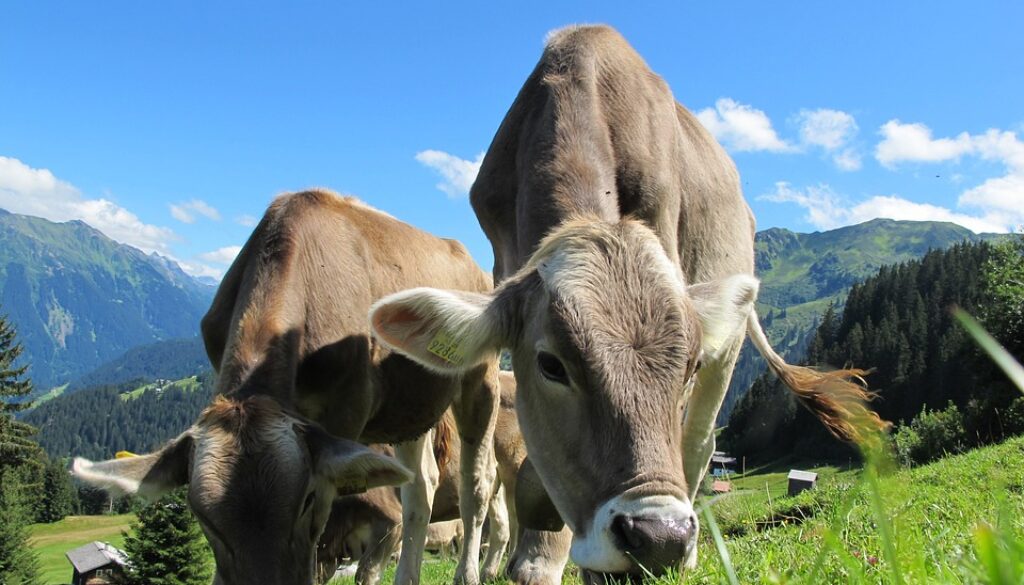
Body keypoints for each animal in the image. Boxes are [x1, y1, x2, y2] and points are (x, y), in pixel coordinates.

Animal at [72, 189, 502, 585]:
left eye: (307, 499)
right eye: (203, 517)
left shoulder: (344, 414)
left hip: (481, 380)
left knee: (476, 484)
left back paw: (469, 573)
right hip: (408, 408)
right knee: (420, 485)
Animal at [369, 25, 883, 581]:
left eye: (688, 365)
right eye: (551, 365)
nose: (660, 538)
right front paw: (536, 558)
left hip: (728, 346)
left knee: (700, 443)